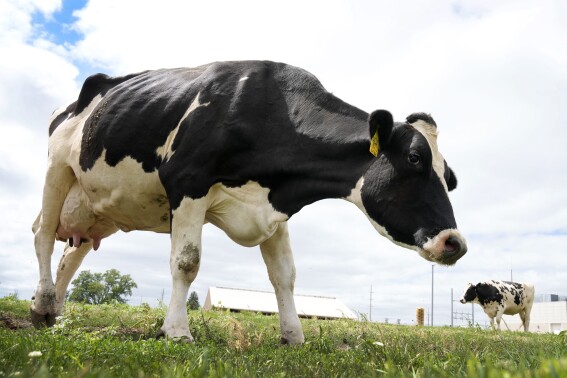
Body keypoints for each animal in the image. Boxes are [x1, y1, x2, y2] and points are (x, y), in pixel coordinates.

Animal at [28, 60, 468, 344]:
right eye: (415, 158)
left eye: (450, 177)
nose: (455, 243)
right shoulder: (187, 181)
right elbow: (186, 262)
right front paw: (177, 331)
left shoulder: (274, 208)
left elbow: (285, 276)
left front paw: (293, 336)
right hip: (56, 169)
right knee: (44, 235)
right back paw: (42, 306)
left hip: (96, 205)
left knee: (72, 254)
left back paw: (56, 315)